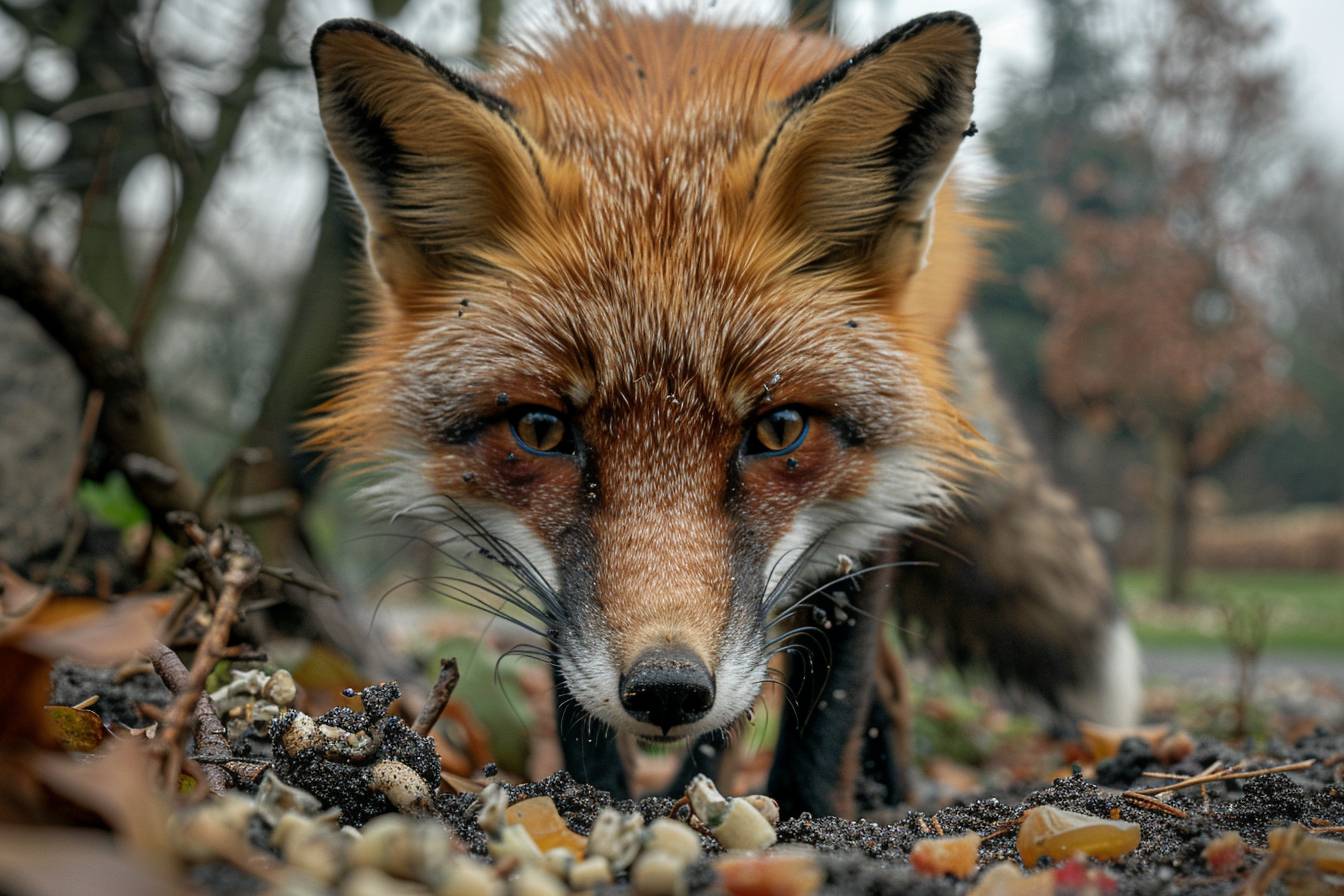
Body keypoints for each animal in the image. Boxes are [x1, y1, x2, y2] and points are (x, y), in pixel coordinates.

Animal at [305, 4, 1142, 817]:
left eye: (780, 429)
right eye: (541, 430)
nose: (667, 689)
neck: (662, 111)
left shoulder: (873, 497)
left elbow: (827, 695)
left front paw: (810, 814)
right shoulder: (557, 582)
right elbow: (583, 698)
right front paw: (596, 799)